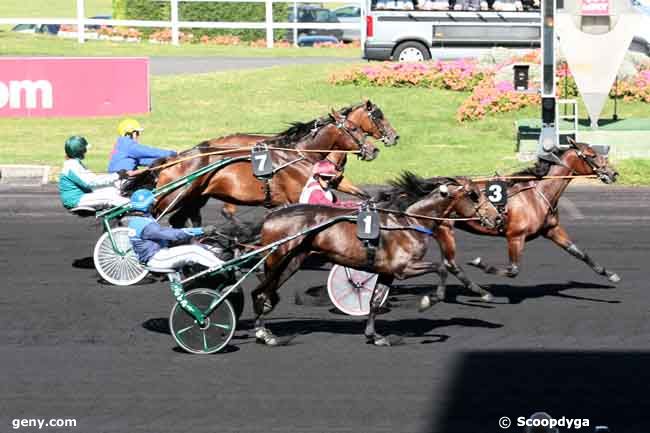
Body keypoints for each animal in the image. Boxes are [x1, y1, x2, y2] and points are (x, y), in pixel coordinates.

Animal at [123, 109, 374, 228]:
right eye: (353, 128)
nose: (373, 150)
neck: (297, 154)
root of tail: (174, 159)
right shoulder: (299, 197)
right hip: (172, 196)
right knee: (149, 216)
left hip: (194, 197)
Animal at [248, 174, 496, 346]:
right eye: (474, 194)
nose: (495, 217)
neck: (408, 222)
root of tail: (270, 216)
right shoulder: (403, 268)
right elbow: (442, 268)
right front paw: (429, 301)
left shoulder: (387, 272)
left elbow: (374, 302)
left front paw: (374, 335)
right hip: (278, 260)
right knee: (259, 292)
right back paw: (263, 333)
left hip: (292, 261)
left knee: (264, 292)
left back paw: (264, 330)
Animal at [430, 142, 616, 304]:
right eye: (592, 155)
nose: (613, 173)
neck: (537, 194)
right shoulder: (515, 236)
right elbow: (513, 270)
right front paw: (481, 265)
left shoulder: (551, 229)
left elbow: (578, 252)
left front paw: (610, 274)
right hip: (444, 227)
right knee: (450, 263)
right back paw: (480, 292)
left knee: (448, 264)